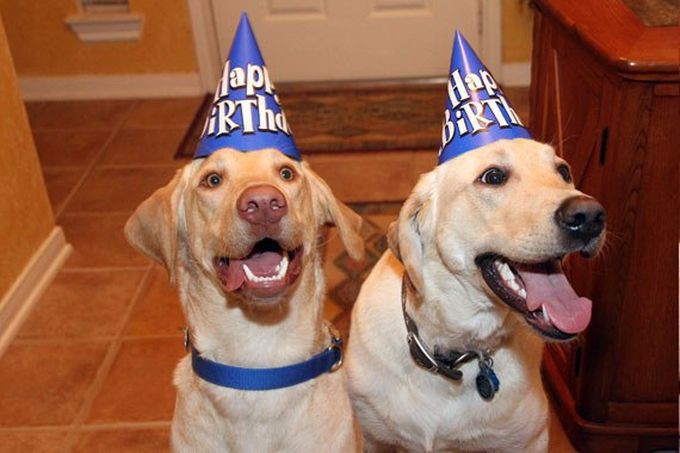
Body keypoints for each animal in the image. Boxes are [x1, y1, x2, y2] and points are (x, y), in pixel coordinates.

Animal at [346, 139, 604, 452]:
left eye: (564, 171)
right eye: (493, 177)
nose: (590, 216)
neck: (452, 351)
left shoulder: (529, 441)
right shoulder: (373, 437)